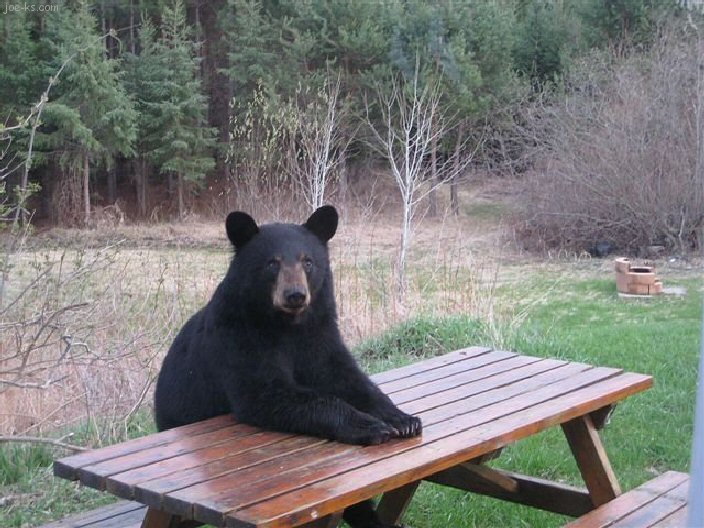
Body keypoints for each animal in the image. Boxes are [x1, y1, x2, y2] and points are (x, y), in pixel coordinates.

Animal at [154, 205, 422, 528]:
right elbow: (267, 392)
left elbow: (346, 377)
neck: (287, 325)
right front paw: (369, 425)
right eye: (272, 263)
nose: (295, 295)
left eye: (308, 261)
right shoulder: (239, 338)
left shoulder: (319, 334)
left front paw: (402, 418)